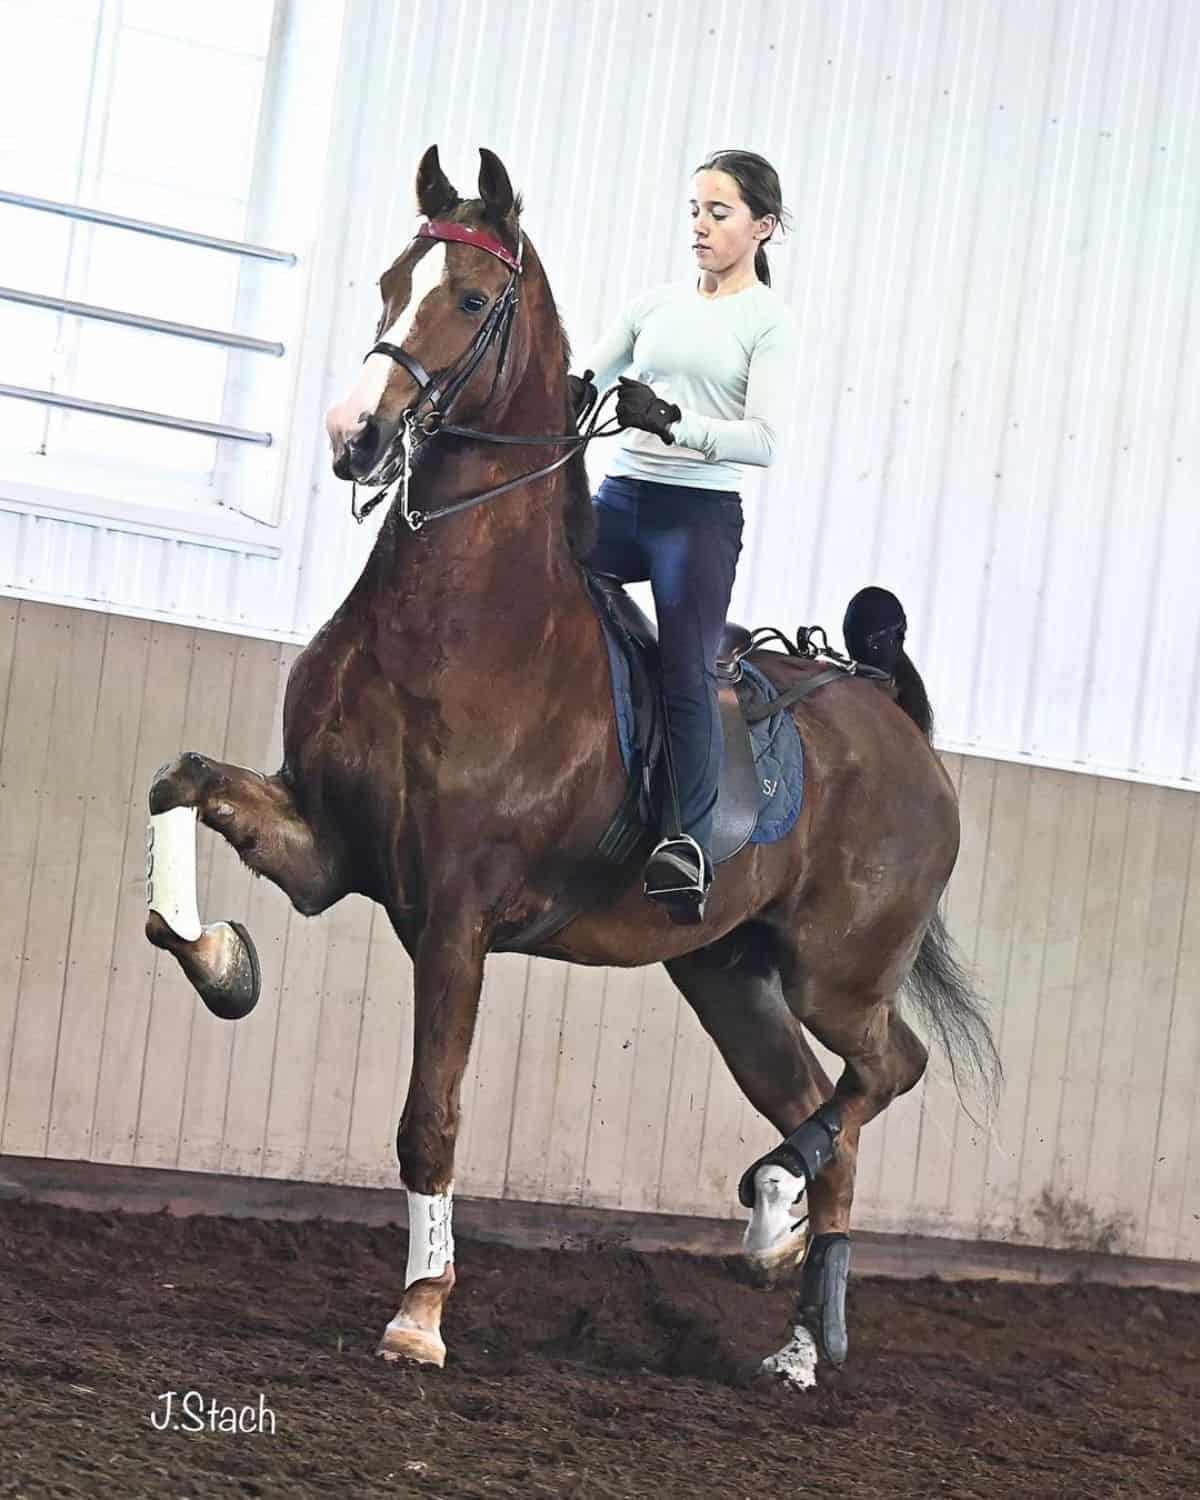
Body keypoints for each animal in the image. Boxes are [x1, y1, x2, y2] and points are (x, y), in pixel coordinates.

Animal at [145, 146, 996, 1386]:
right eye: (390, 281)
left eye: (468, 300)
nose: (356, 436)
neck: (459, 626)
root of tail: (900, 729)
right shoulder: (327, 848)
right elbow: (183, 783)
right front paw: (221, 962)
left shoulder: (455, 915)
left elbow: (429, 1118)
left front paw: (422, 1313)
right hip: (728, 975)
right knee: (819, 1100)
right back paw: (792, 1296)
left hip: (837, 974)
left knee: (888, 1071)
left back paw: (781, 1227)